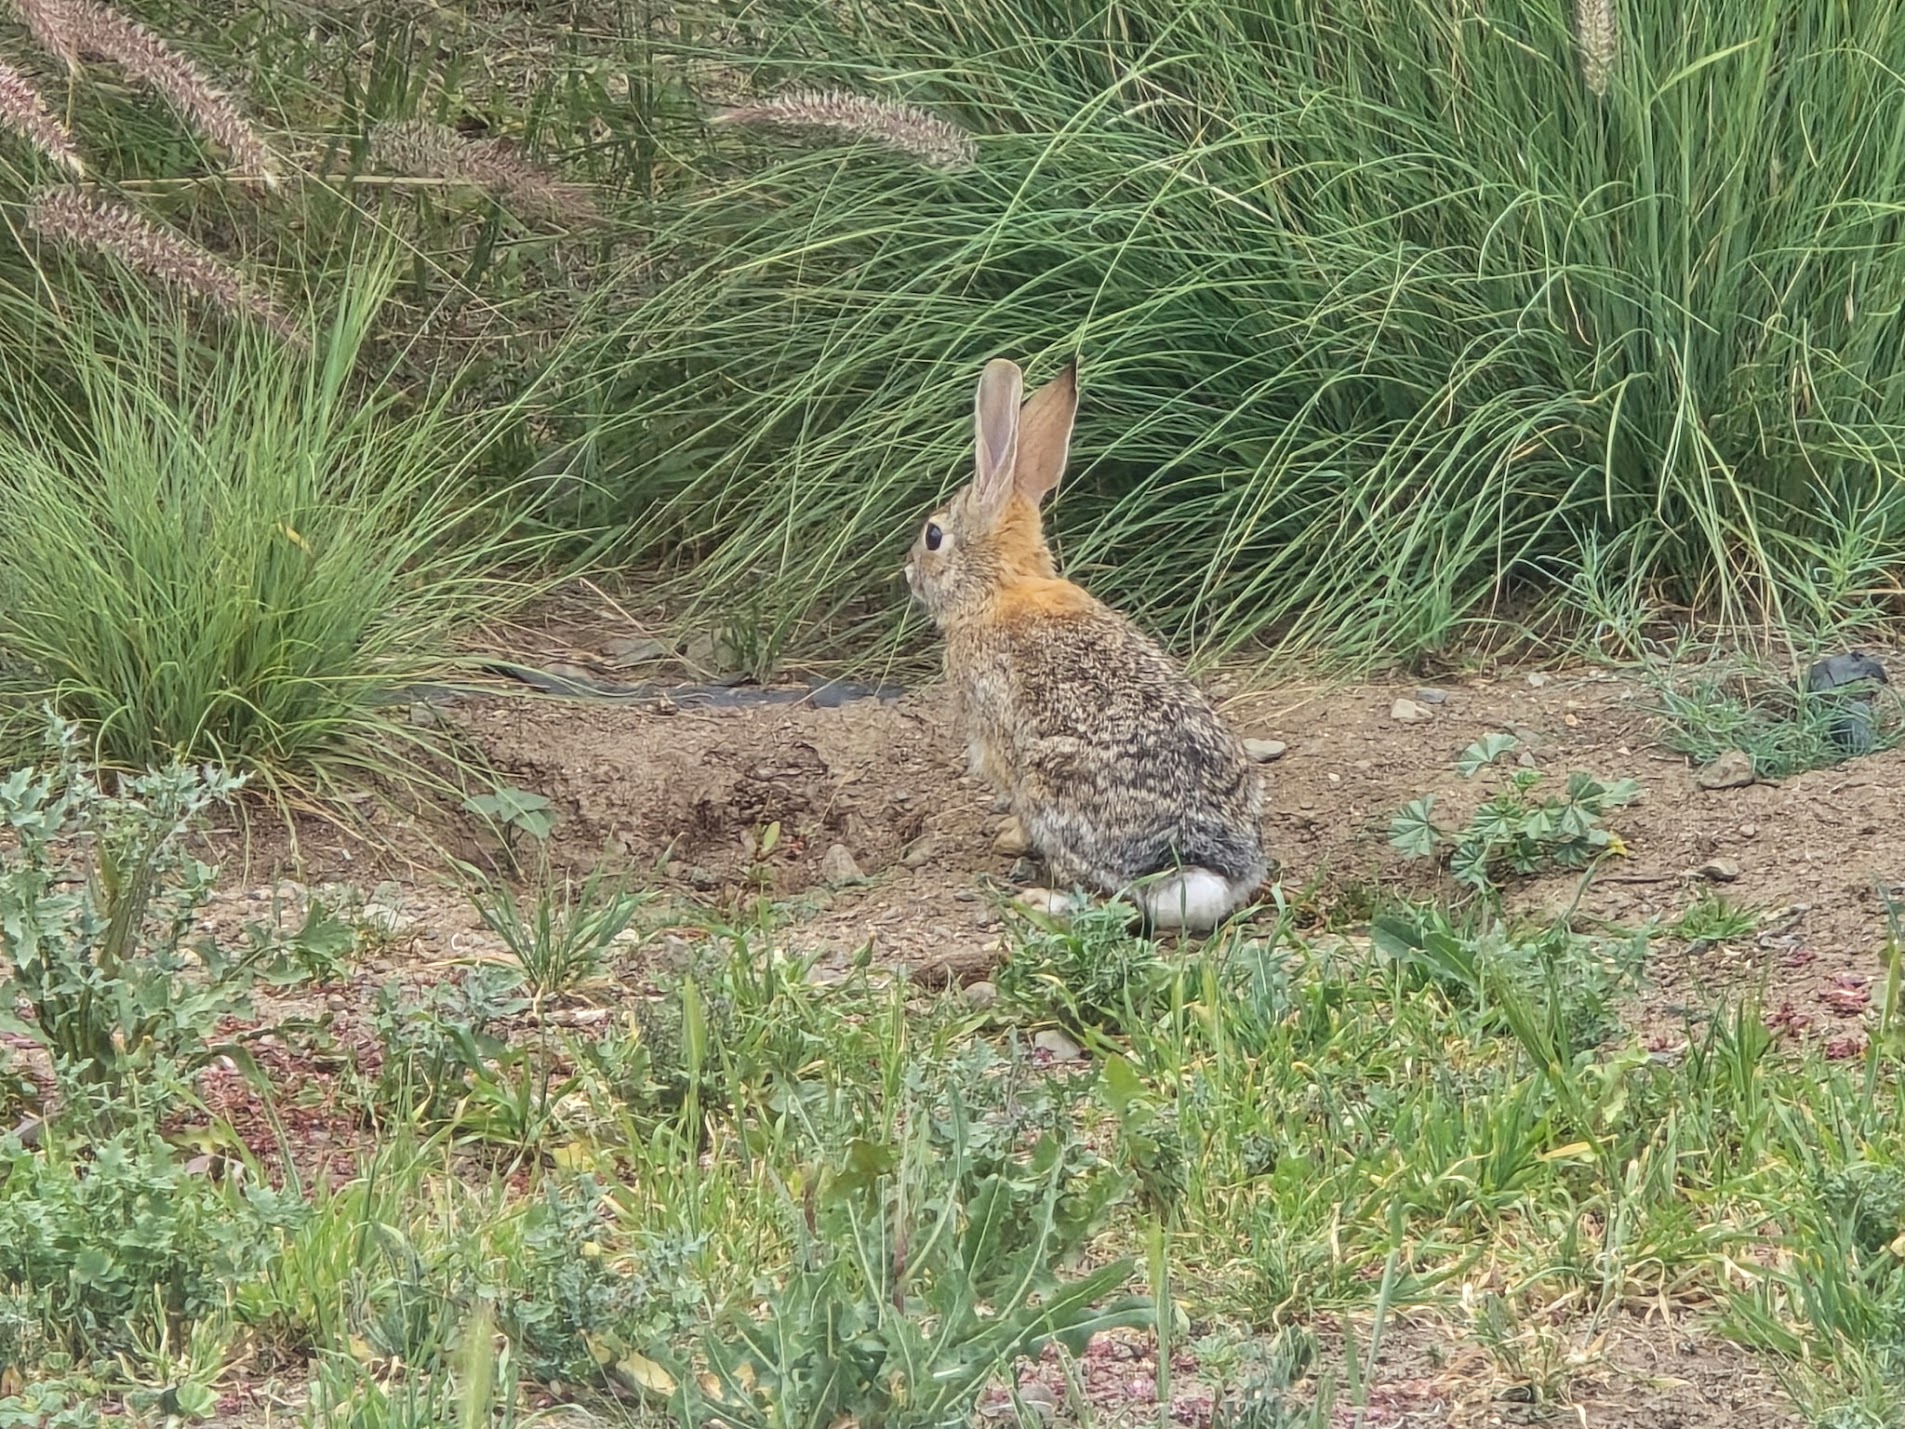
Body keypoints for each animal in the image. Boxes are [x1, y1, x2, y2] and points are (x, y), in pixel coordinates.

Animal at [902, 356, 1268, 931]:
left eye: (933, 536)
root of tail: (1206, 871)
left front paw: (1009, 837)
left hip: (1051, 785)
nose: (908, 571)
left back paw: (1041, 900)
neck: (1000, 587)